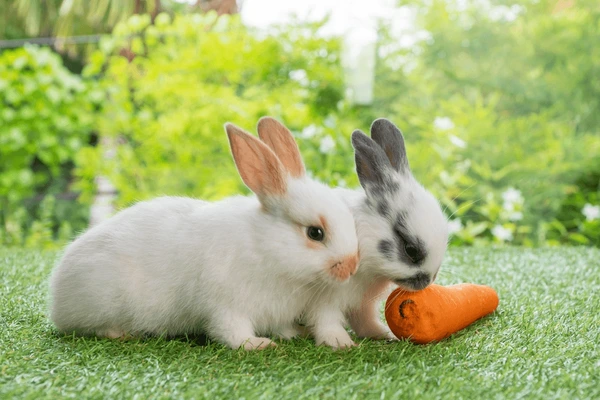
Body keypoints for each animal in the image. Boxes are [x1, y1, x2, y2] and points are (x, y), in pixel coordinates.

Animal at [49, 116, 358, 350]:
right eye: (315, 233)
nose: (351, 267)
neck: (265, 248)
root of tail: (56, 294)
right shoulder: (226, 304)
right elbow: (231, 331)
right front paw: (258, 345)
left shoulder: (280, 311)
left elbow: (284, 327)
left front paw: (297, 334)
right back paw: (122, 333)